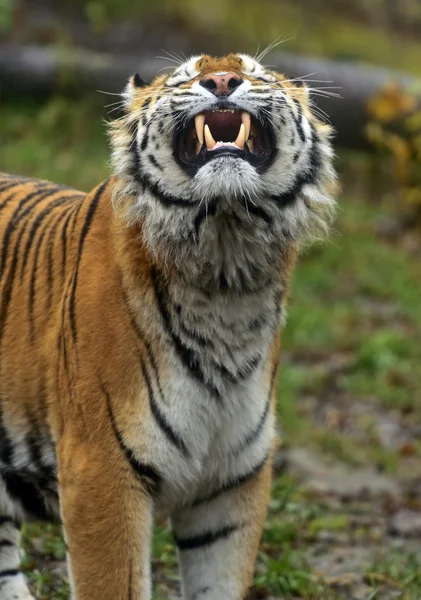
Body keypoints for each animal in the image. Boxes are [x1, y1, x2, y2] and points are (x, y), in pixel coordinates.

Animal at [0, 52, 334, 600]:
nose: (222, 80)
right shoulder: (101, 471)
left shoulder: (232, 484)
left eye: (254, 71)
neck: (225, 274)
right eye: (187, 76)